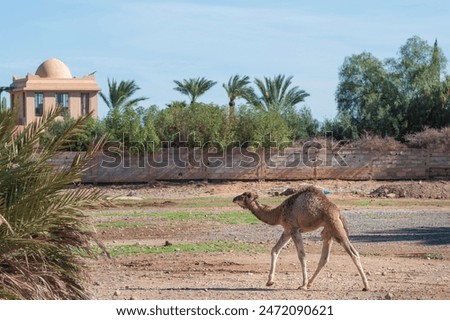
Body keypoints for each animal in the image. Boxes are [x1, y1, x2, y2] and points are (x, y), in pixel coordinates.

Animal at [232, 186, 370, 292]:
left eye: (245, 196)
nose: (234, 199)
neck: (278, 213)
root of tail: (338, 212)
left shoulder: (294, 229)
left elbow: (302, 255)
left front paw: (302, 285)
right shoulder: (287, 230)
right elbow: (275, 250)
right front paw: (270, 282)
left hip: (335, 227)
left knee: (353, 253)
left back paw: (366, 286)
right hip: (327, 231)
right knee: (324, 258)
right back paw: (310, 283)